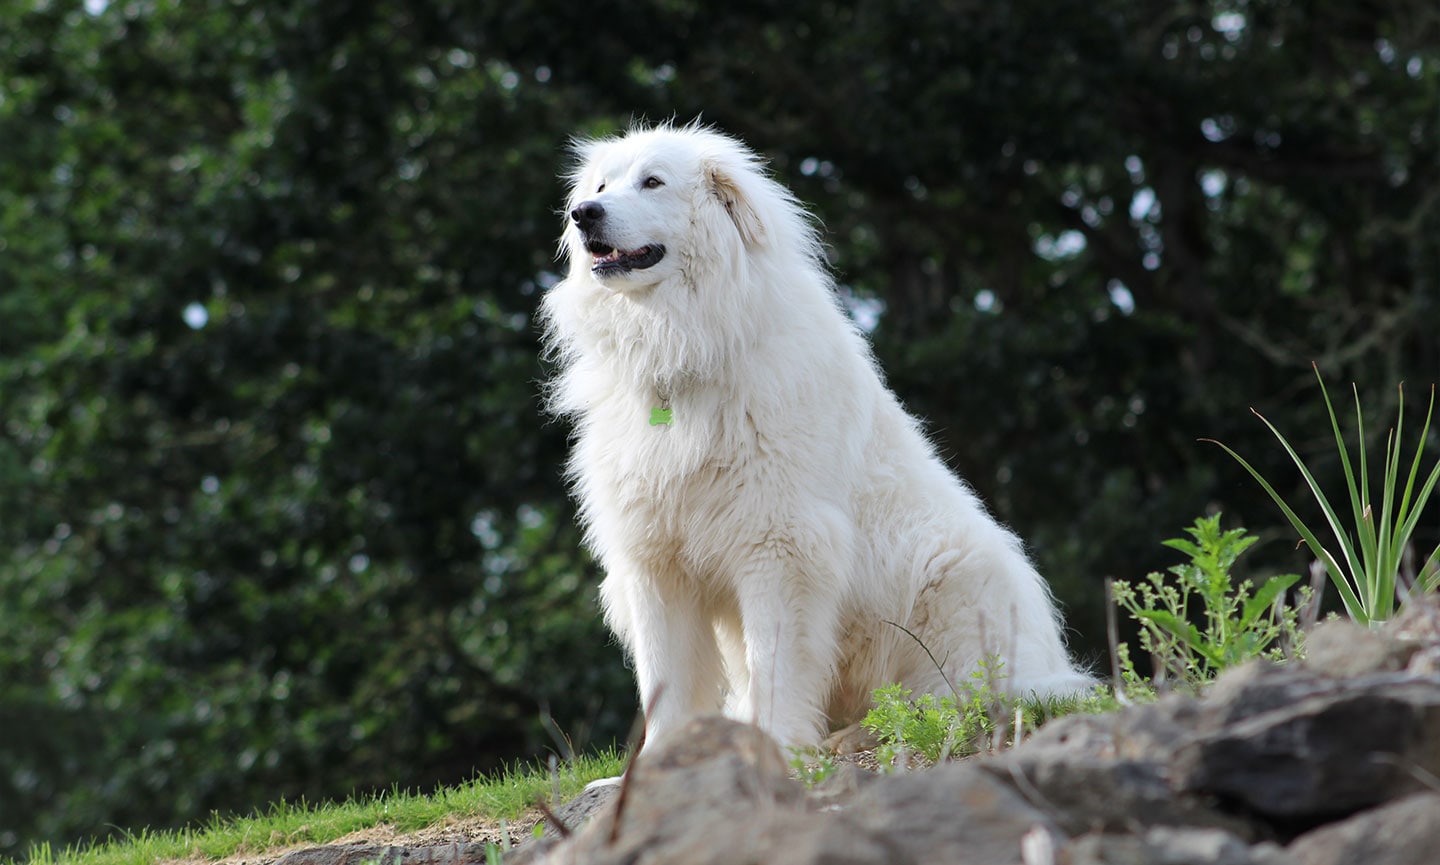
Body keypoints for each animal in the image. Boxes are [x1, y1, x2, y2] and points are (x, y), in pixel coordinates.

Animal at [541, 121, 1088, 748]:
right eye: (602, 185)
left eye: (652, 182)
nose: (583, 214)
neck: (683, 348)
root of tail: (1053, 668)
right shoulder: (656, 561)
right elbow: (666, 678)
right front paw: (669, 758)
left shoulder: (780, 547)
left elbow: (775, 663)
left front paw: (778, 745)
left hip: (957, 579)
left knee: (953, 704)